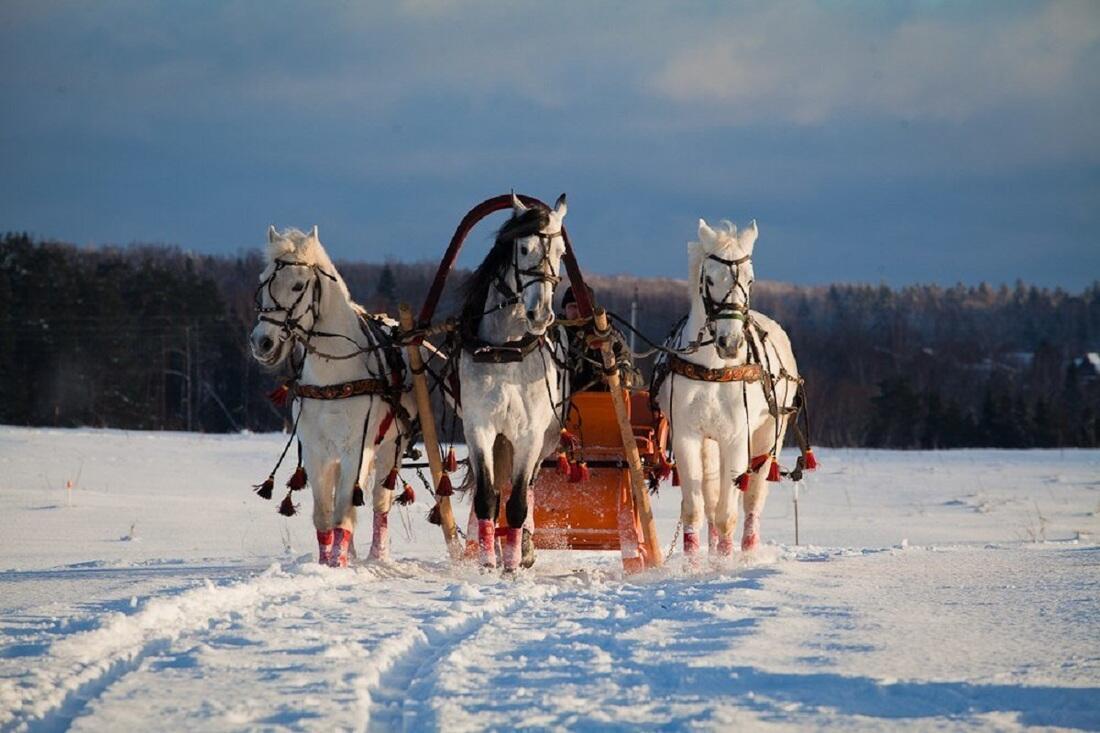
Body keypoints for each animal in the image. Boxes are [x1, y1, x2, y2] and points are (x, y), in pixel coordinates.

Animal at [249, 226, 415, 563]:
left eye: (298, 285)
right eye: (264, 278)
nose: (262, 342)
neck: (334, 375)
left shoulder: (357, 448)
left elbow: (345, 514)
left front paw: (338, 563)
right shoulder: (317, 451)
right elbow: (325, 516)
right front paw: (329, 563)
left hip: (390, 447)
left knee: (380, 501)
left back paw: (377, 556)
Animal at [459, 193, 572, 572]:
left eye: (561, 252)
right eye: (522, 248)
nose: (541, 315)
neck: (504, 350)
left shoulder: (529, 435)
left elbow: (519, 502)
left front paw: (511, 563)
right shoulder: (479, 429)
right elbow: (487, 497)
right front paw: (488, 561)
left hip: (543, 442)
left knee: (530, 488)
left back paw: (524, 547)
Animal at [655, 216, 805, 559]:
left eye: (750, 281)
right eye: (710, 279)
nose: (731, 342)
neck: (714, 370)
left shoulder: (737, 438)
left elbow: (728, 514)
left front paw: (724, 564)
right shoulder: (687, 436)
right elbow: (695, 509)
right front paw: (694, 565)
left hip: (768, 436)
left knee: (752, 500)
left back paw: (748, 552)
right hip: (711, 444)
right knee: (711, 500)